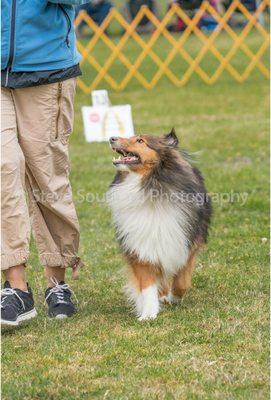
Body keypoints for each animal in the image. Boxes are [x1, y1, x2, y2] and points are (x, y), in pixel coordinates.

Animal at [107, 130, 212, 320]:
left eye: (140, 140)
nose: (111, 138)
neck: (150, 185)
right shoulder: (140, 246)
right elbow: (147, 284)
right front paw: (148, 314)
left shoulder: (186, 243)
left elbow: (182, 282)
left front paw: (174, 297)